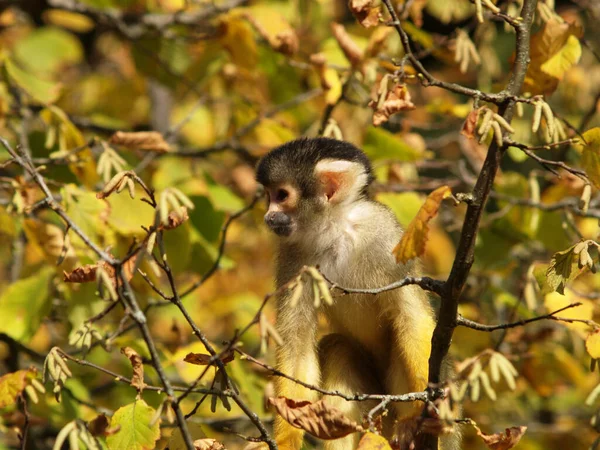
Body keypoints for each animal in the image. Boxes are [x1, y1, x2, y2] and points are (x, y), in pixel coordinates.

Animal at [254, 139, 454, 448]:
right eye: (269, 196)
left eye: (282, 195)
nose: (269, 216)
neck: (334, 231)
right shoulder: (292, 256)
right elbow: (297, 344)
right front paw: (286, 439)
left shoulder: (385, 237)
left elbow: (412, 318)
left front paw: (431, 408)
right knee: (339, 347)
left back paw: (413, 425)